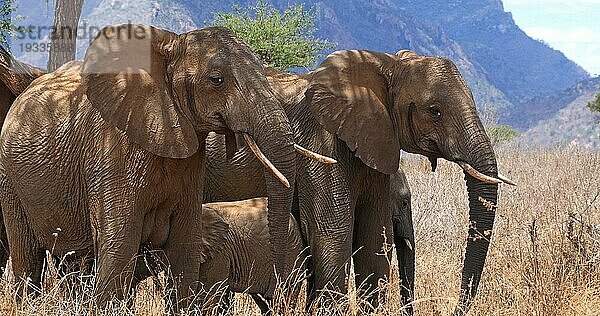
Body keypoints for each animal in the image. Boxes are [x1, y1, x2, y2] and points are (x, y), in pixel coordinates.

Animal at [0, 22, 300, 306]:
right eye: (217, 80)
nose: (273, 286)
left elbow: (185, 245)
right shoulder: (111, 152)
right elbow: (121, 243)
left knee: (74, 262)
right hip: (9, 179)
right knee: (28, 259)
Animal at [204, 48, 512, 314]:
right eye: (434, 111)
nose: (455, 308)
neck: (385, 65)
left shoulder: (376, 146)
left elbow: (375, 236)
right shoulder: (321, 145)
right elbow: (333, 237)